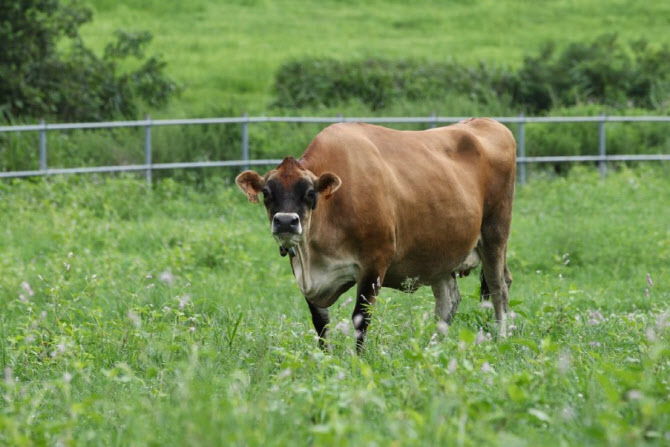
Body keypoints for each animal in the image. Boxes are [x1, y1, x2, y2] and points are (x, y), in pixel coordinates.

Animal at [238, 120, 520, 354]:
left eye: (310, 193)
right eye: (266, 193)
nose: (286, 221)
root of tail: (487, 122)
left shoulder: (374, 264)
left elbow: (360, 318)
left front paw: (358, 359)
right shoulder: (304, 275)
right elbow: (321, 322)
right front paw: (324, 358)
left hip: (495, 234)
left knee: (499, 288)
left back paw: (501, 338)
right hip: (441, 253)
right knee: (448, 302)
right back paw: (433, 348)